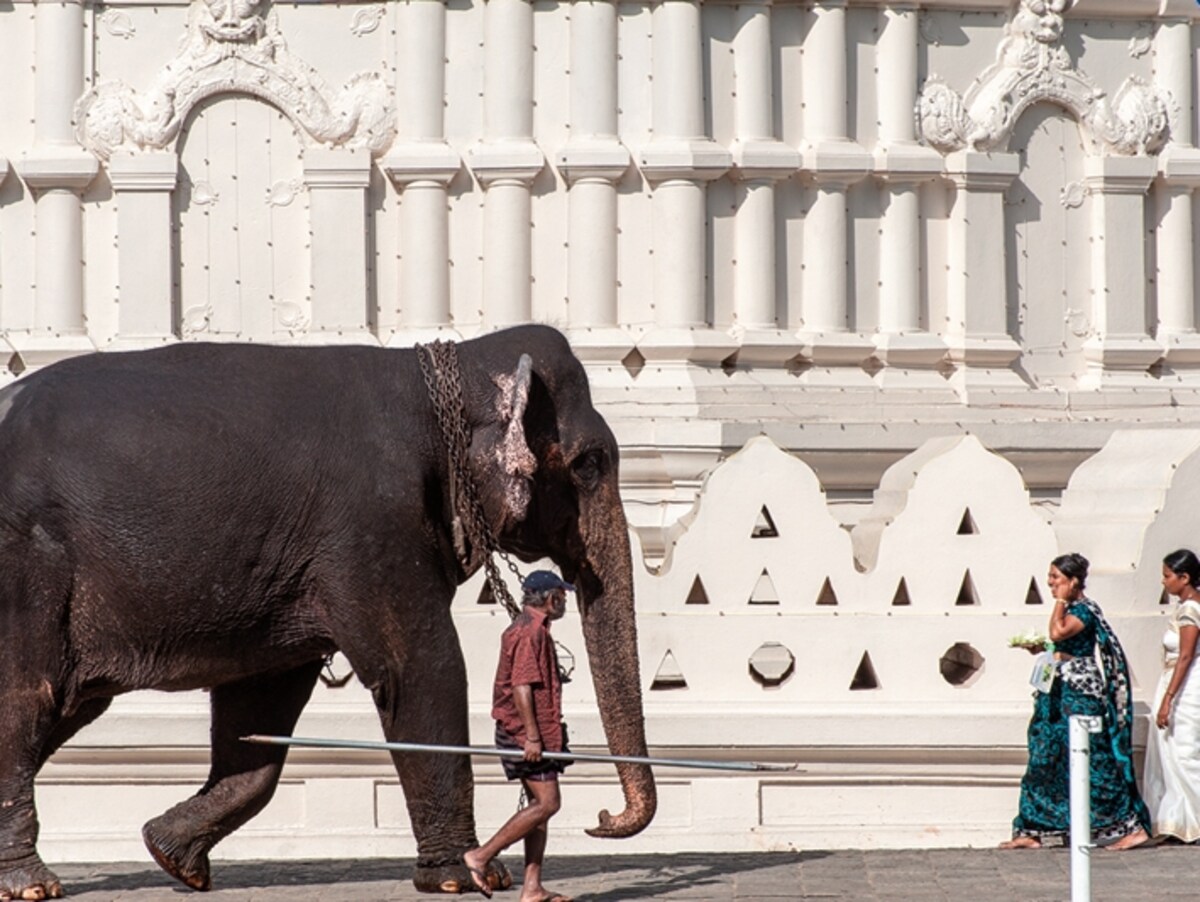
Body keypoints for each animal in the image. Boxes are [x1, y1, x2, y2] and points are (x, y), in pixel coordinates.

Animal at [0, 324, 656, 900]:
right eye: (589, 464)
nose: (602, 816)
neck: (443, 368)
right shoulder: (372, 526)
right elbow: (422, 669)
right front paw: (466, 877)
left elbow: (260, 706)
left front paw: (172, 856)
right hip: (25, 569)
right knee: (27, 703)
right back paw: (31, 884)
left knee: (64, 709)